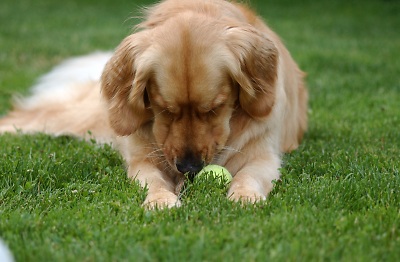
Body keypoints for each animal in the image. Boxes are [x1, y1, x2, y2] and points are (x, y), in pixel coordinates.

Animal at [0, 0, 308, 209]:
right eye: (165, 110)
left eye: (214, 109)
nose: (189, 168)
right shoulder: (143, 159)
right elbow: (153, 179)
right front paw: (160, 200)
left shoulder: (264, 156)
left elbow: (250, 175)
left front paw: (245, 195)